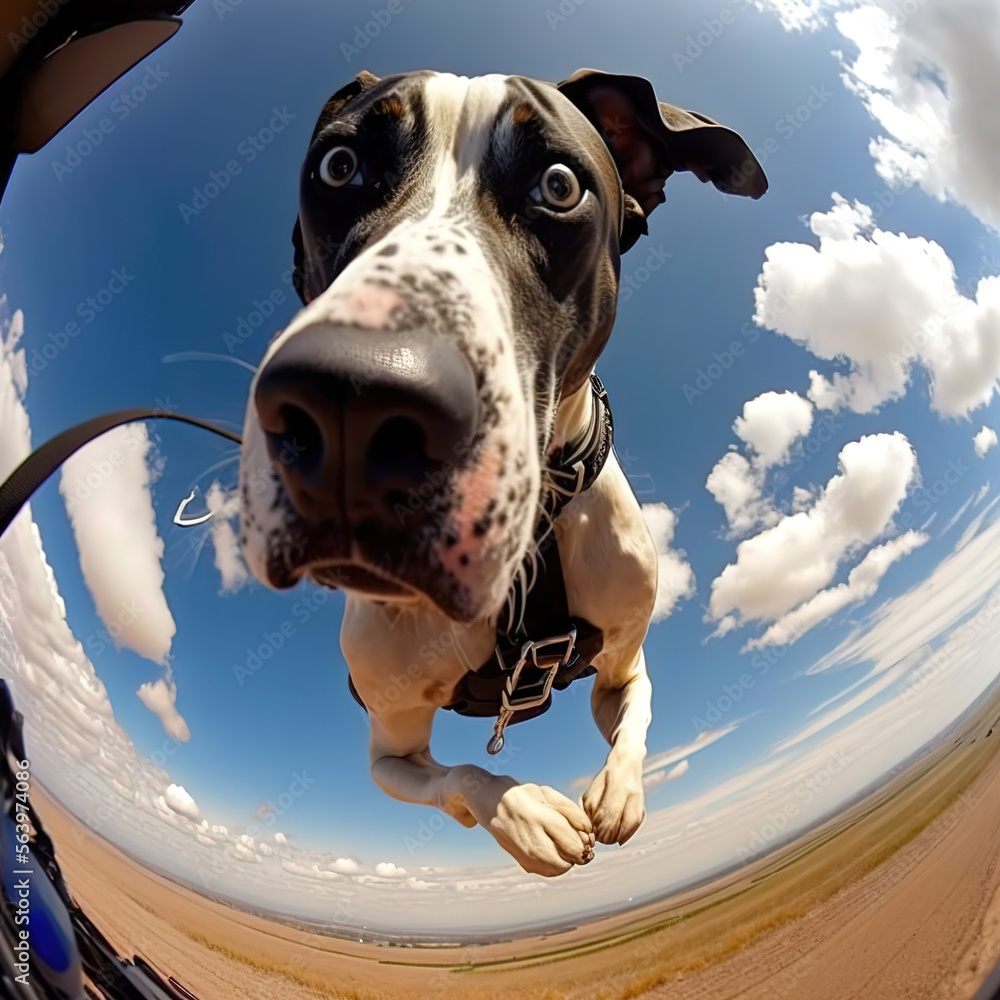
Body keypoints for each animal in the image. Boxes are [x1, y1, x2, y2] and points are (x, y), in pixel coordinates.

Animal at [236, 68, 764, 876]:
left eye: (558, 185)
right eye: (338, 166)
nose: (353, 402)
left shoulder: (623, 664)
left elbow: (634, 716)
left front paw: (618, 793)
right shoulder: (389, 752)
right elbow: (461, 777)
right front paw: (526, 815)